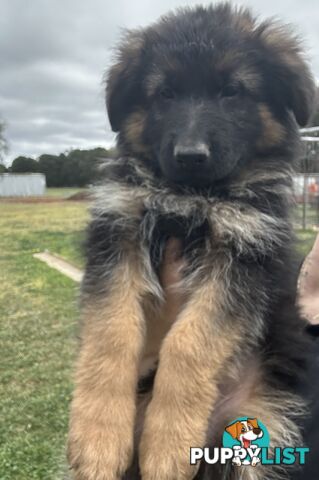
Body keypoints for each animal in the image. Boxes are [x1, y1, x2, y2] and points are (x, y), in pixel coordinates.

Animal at [67, 3, 316, 480]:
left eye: (232, 91)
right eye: (164, 94)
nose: (191, 156)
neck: (190, 197)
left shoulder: (245, 254)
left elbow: (188, 342)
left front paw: (168, 444)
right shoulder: (117, 232)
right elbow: (113, 331)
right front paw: (98, 436)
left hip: (266, 428)